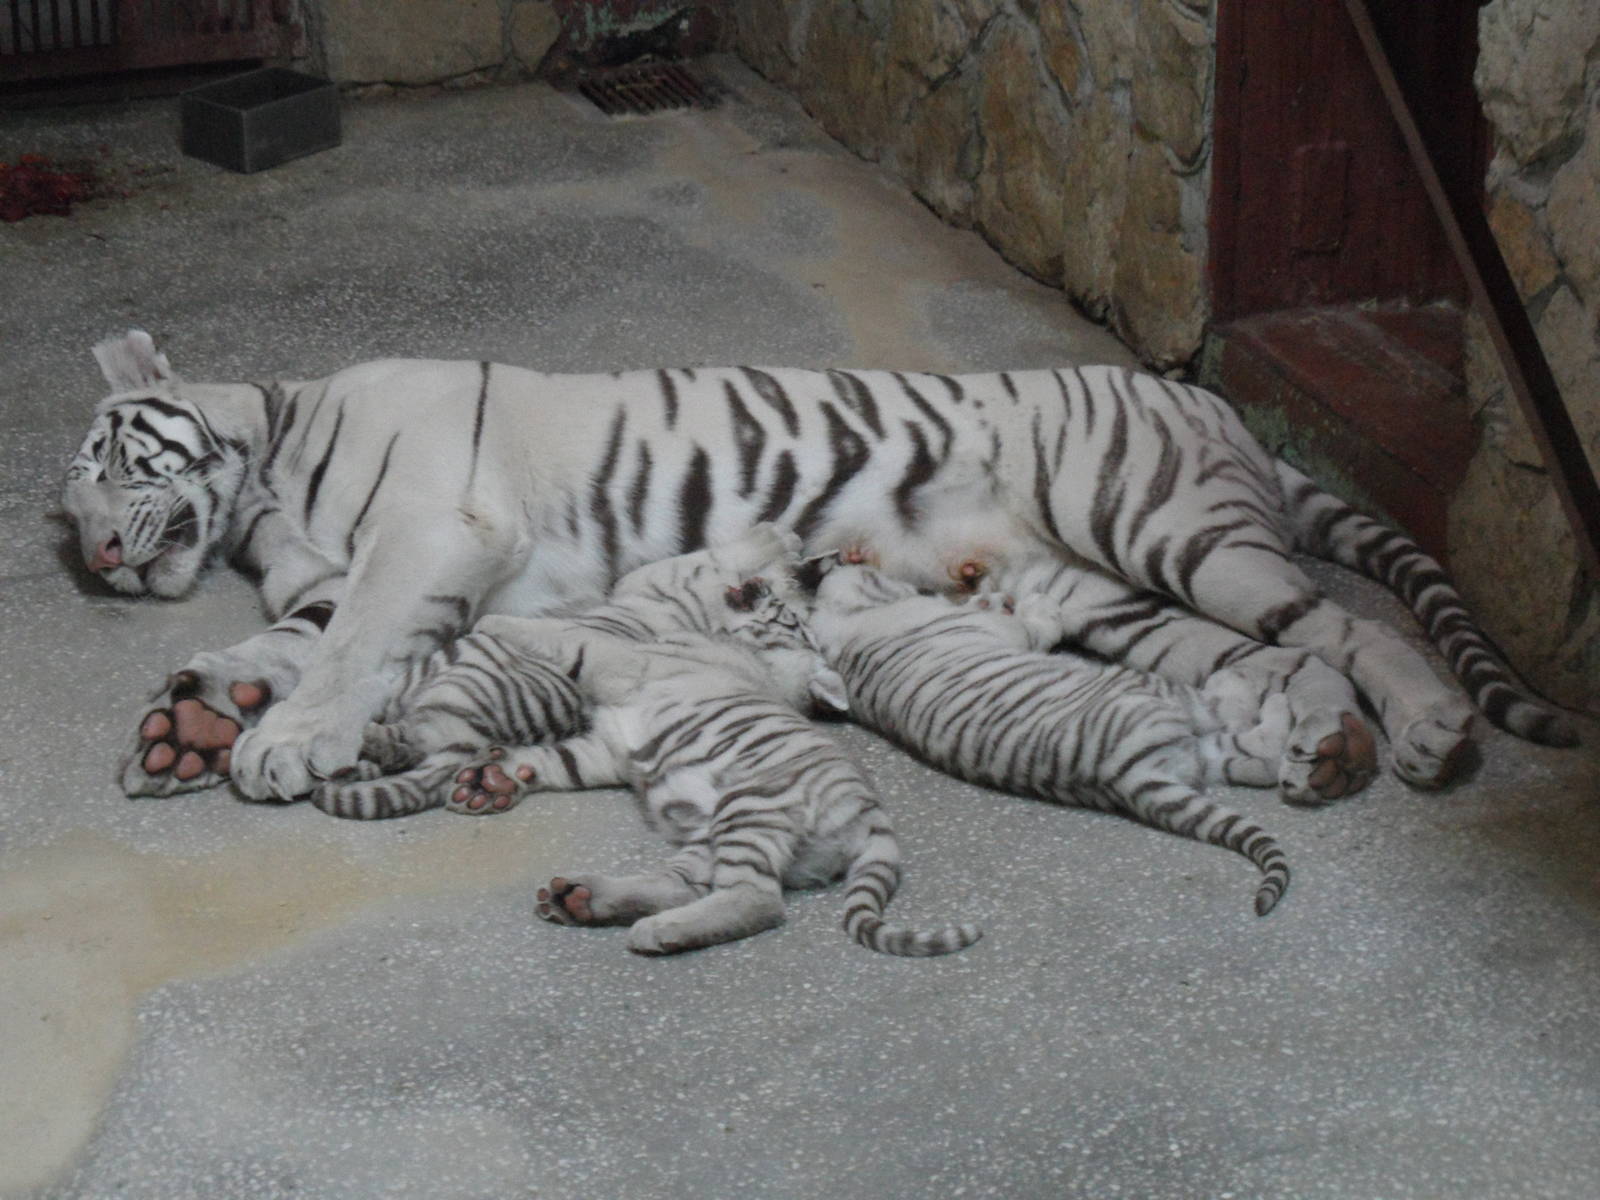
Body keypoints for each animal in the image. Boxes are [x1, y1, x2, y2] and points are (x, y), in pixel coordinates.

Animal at [310, 524, 811, 820]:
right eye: (785, 611)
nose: (773, 586)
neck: (708, 617)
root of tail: (462, 746)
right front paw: (782, 543)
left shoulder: (660, 577)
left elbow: (716, 552)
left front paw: (776, 539)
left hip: (438, 688)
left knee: (412, 736)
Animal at [447, 581, 981, 958]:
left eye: (789, 613)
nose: (761, 582)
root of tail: (874, 817)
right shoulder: (609, 747)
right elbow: (556, 761)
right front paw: (493, 781)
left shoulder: (620, 661)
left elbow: (565, 636)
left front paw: (490, 621)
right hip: (708, 837)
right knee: (682, 884)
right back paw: (581, 900)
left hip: (752, 806)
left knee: (759, 900)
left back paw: (657, 931)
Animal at [806, 558, 1294, 915]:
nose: (851, 558)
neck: (846, 631)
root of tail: (1128, 776)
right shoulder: (1005, 633)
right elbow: (1036, 625)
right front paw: (1038, 603)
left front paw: (995, 598)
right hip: (1148, 690)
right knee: (1230, 711)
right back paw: (1256, 687)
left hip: (1199, 750)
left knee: (1256, 759)